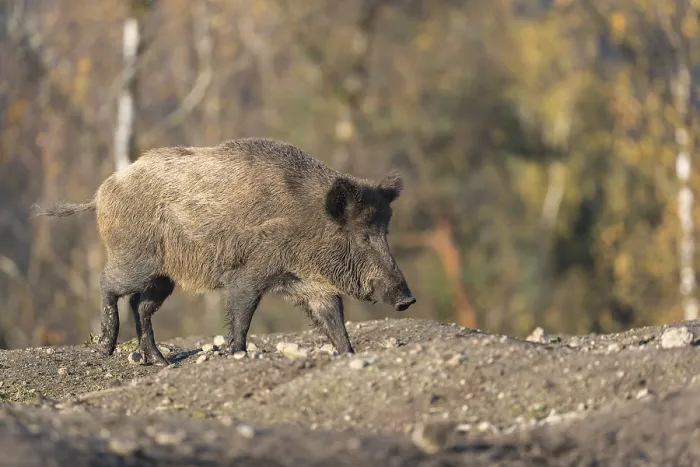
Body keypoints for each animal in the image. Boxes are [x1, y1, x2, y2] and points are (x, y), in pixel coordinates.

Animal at [35, 137, 416, 365]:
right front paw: (236, 353)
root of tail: (101, 193)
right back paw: (106, 347)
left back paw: (159, 361)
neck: (306, 220)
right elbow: (242, 314)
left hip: (165, 277)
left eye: (385, 231)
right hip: (135, 259)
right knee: (108, 285)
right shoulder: (249, 273)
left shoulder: (311, 284)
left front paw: (348, 354)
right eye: (363, 236)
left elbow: (334, 320)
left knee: (140, 305)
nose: (408, 298)